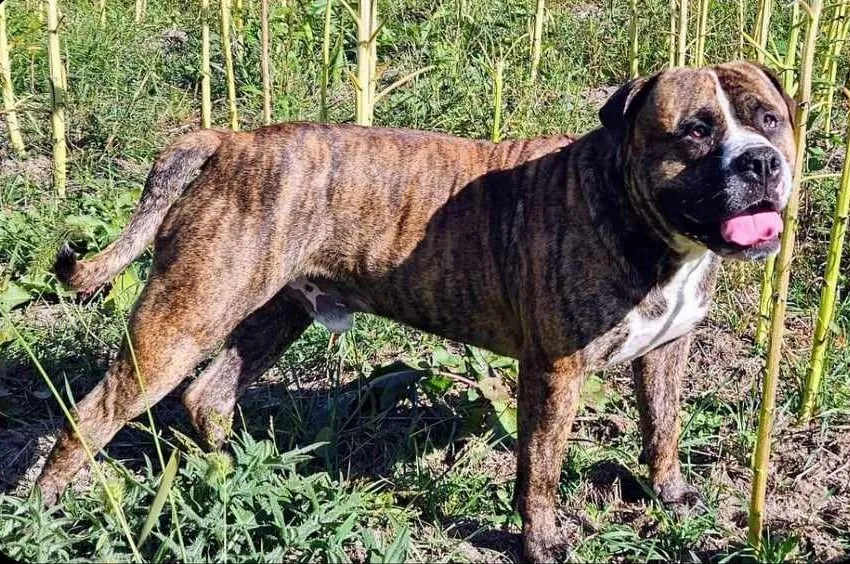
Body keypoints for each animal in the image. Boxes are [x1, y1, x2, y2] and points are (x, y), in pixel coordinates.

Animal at [36, 62, 796, 560]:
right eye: (695, 131)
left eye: (769, 120)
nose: (761, 162)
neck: (651, 228)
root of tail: (228, 140)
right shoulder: (555, 374)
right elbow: (541, 470)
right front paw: (542, 541)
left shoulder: (667, 351)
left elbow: (662, 427)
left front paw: (671, 496)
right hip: (181, 322)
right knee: (93, 414)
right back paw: (42, 511)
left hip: (270, 315)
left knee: (208, 396)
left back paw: (235, 478)